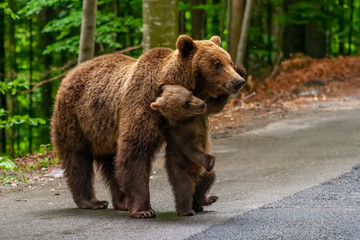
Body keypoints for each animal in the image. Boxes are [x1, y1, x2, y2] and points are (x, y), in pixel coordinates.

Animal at [51, 34, 245, 218]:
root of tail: (68, 75)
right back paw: (92, 201)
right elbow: (135, 153)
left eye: (228, 60)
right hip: (76, 120)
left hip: (105, 131)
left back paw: (122, 202)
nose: (239, 81)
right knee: (78, 159)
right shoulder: (142, 106)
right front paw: (144, 210)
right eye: (217, 64)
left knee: (111, 162)